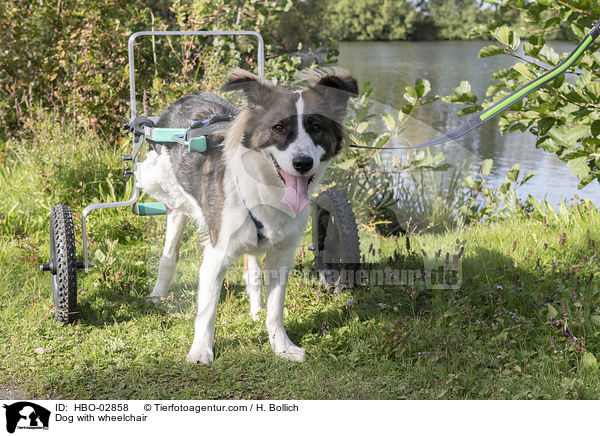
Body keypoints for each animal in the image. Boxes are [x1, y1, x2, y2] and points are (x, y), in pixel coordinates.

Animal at [135, 66, 356, 362]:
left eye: (316, 127)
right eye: (279, 128)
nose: (302, 163)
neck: (269, 189)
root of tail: (188, 97)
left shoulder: (282, 255)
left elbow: (275, 308)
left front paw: (281, 346)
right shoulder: (216, 254)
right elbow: (207, 311)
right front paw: (201, 350)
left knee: (252, 268)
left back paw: (256, 308)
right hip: (174, 202)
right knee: (169, 254)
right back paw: (158, 295)